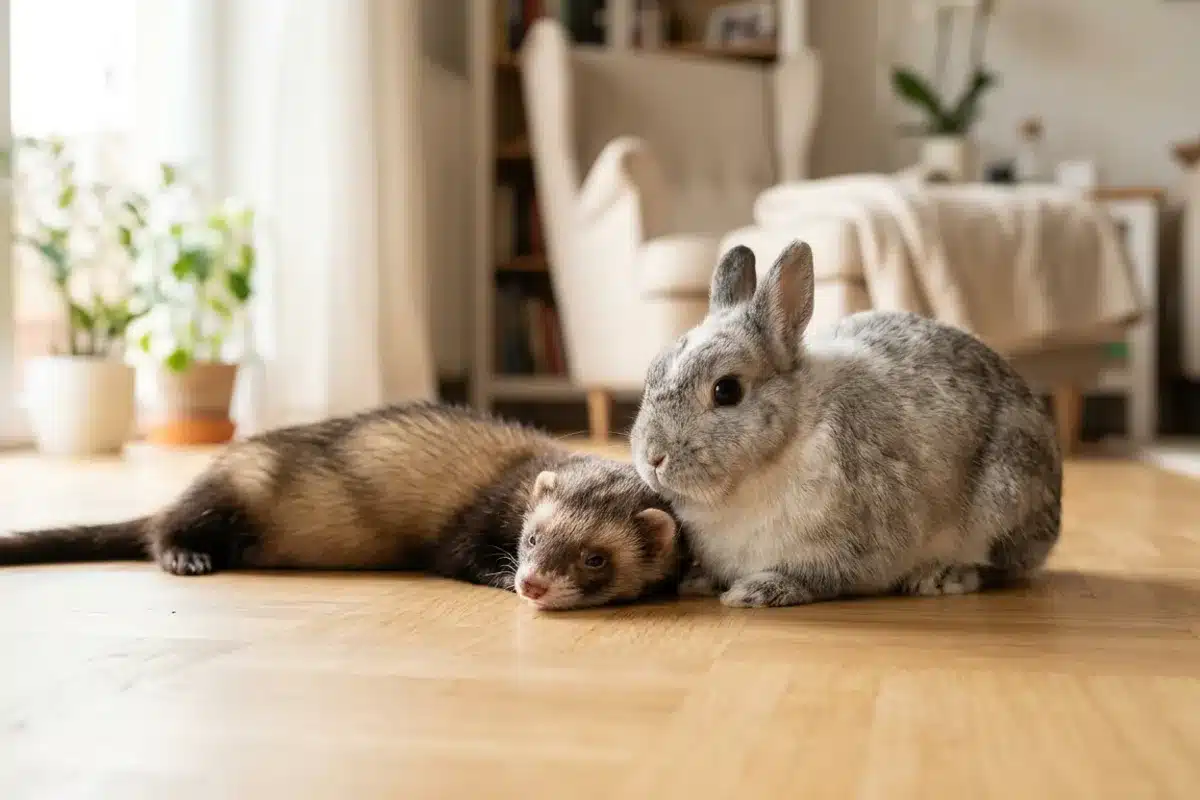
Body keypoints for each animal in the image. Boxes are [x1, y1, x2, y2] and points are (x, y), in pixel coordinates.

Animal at [629, 240, 1062, 608]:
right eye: (652, 372)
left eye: (726, 390)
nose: (653, 458)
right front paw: (698, 582)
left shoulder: (852, 549)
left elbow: (821, 578)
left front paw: (757, 591)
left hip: (1006, 496)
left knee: (1000, 566)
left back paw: (941, 576)